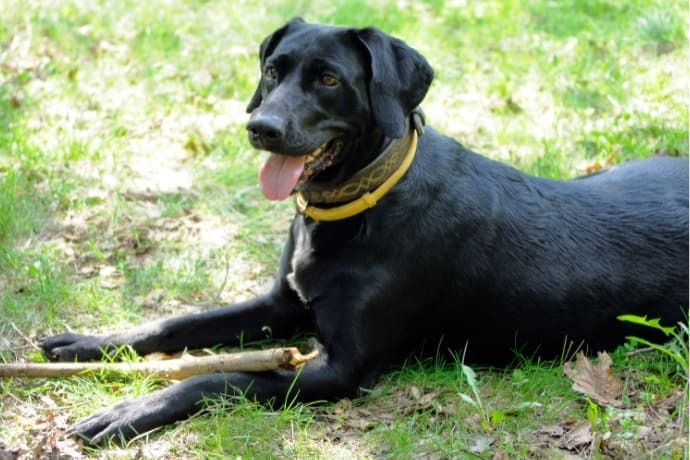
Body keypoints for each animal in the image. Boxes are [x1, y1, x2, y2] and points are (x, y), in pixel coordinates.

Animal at [40, 18, 684, 446]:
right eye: (272, 71)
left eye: (328, 79)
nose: (260, 127)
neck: (359, 205)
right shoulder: (282, 304)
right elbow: (177, 323)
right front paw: (89, 345)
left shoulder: (339, 367)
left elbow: (221, 377)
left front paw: (127, 410)